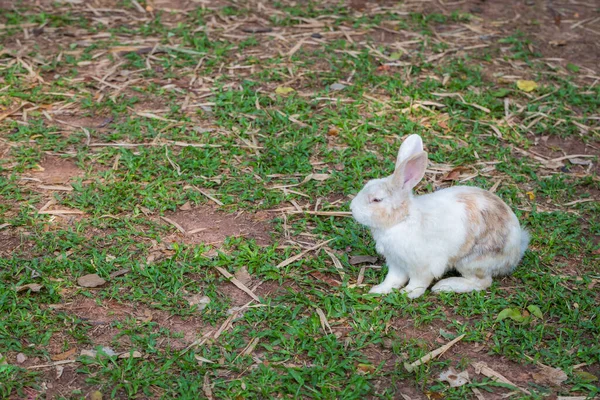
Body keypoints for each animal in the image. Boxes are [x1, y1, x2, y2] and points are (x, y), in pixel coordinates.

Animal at [352, 136, 528, 298]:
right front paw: (378, 290)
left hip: (471, 260)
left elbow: (418, 283)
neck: (402, 219)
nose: (352, 208)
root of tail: (516, 251)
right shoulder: (396, 263)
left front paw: (408, 293)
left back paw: (444, 286)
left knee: (482, 282)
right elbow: (393, 279)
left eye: (376, 200)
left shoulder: (422, 266)